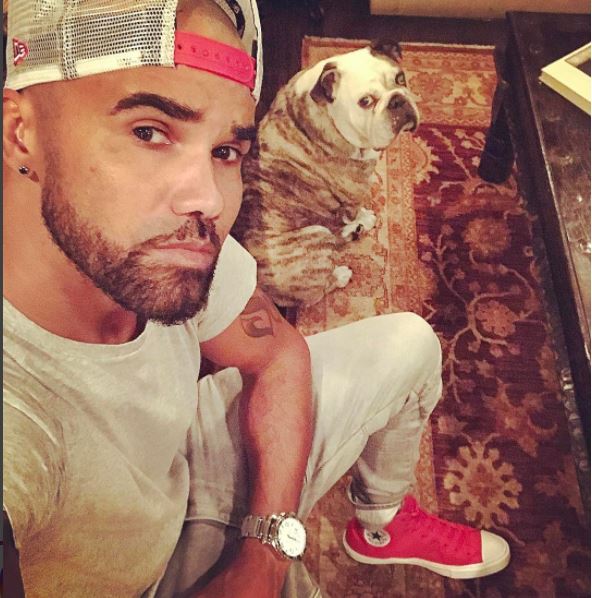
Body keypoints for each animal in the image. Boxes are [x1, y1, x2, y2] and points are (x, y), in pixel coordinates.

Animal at [232, 40, 420, 306]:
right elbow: (355, 210)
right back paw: (340, 273)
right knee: (318, 290)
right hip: (316, 237)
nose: (397, 100)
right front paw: (364, 218)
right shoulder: (354, 191)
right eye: (365, 101)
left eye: (400, 78)